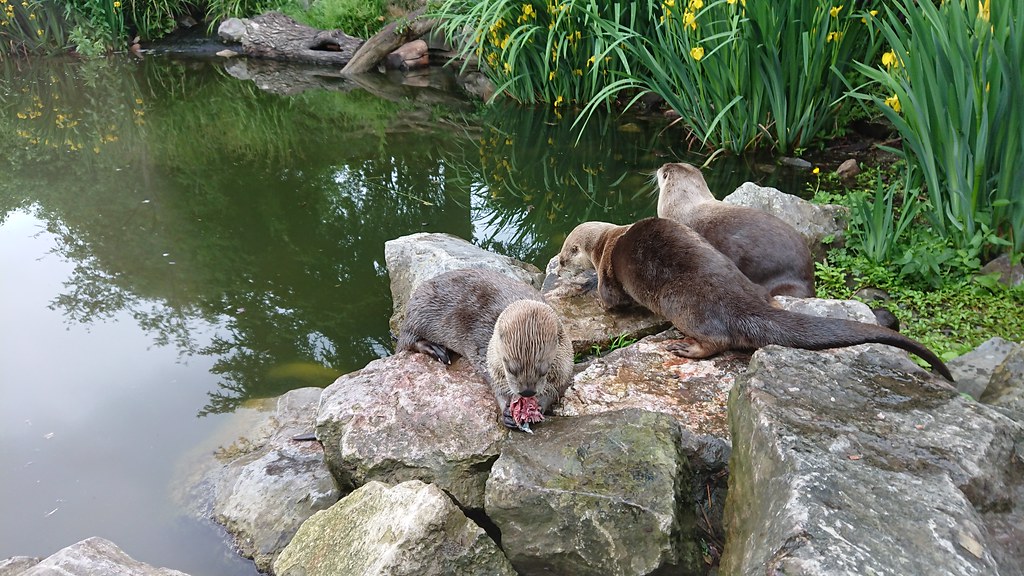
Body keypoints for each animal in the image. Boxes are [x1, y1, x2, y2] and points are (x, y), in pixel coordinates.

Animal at [396, 268, 574, 430]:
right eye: (510, 368)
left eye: (544, 369)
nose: (527, 392)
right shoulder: (487, 358)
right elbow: (494, 383)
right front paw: (506, 410)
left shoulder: (565, 364)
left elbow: (557, 388)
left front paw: (539, 405)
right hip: (419, 312)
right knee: (406, 340)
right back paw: (435, 349)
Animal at [567, 217, 953, 381]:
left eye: (567, 251)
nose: (558, 261)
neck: (606, 241)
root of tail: (741, 302)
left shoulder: (608, 268)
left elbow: (611, 299)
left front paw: (587, 287)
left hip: (687, 307)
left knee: (718, 339)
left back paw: (686, 348)